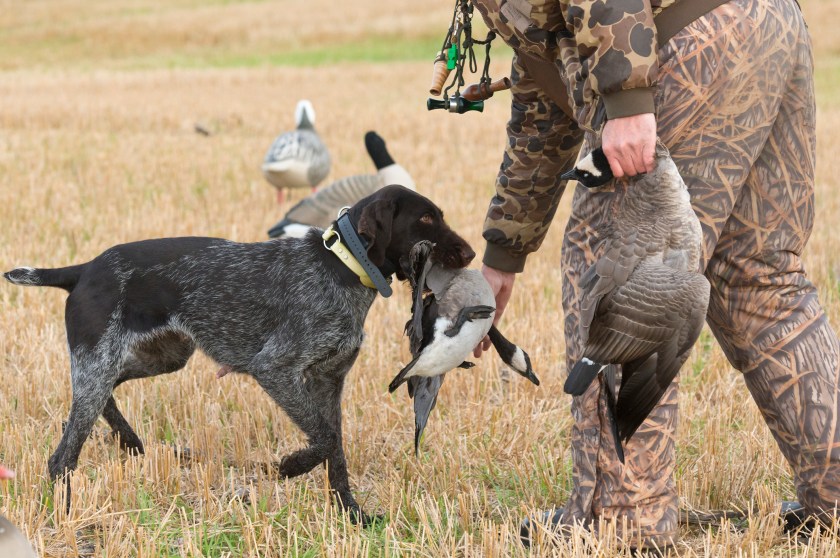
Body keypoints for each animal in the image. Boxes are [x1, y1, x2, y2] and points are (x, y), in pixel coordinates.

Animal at [3, 185, 476, 524]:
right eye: (426, 218)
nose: (471, 252)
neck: (342, 265)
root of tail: (83, 269)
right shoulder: (276, 368)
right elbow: (324, 439)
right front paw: (290, 466)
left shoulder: (329, 381)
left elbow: (336, 447)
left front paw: (352, 514)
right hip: (102, 360)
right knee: (63, 455)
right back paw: (67, 511)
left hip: (161, 356)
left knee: (102, 397)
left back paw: (129, 441)